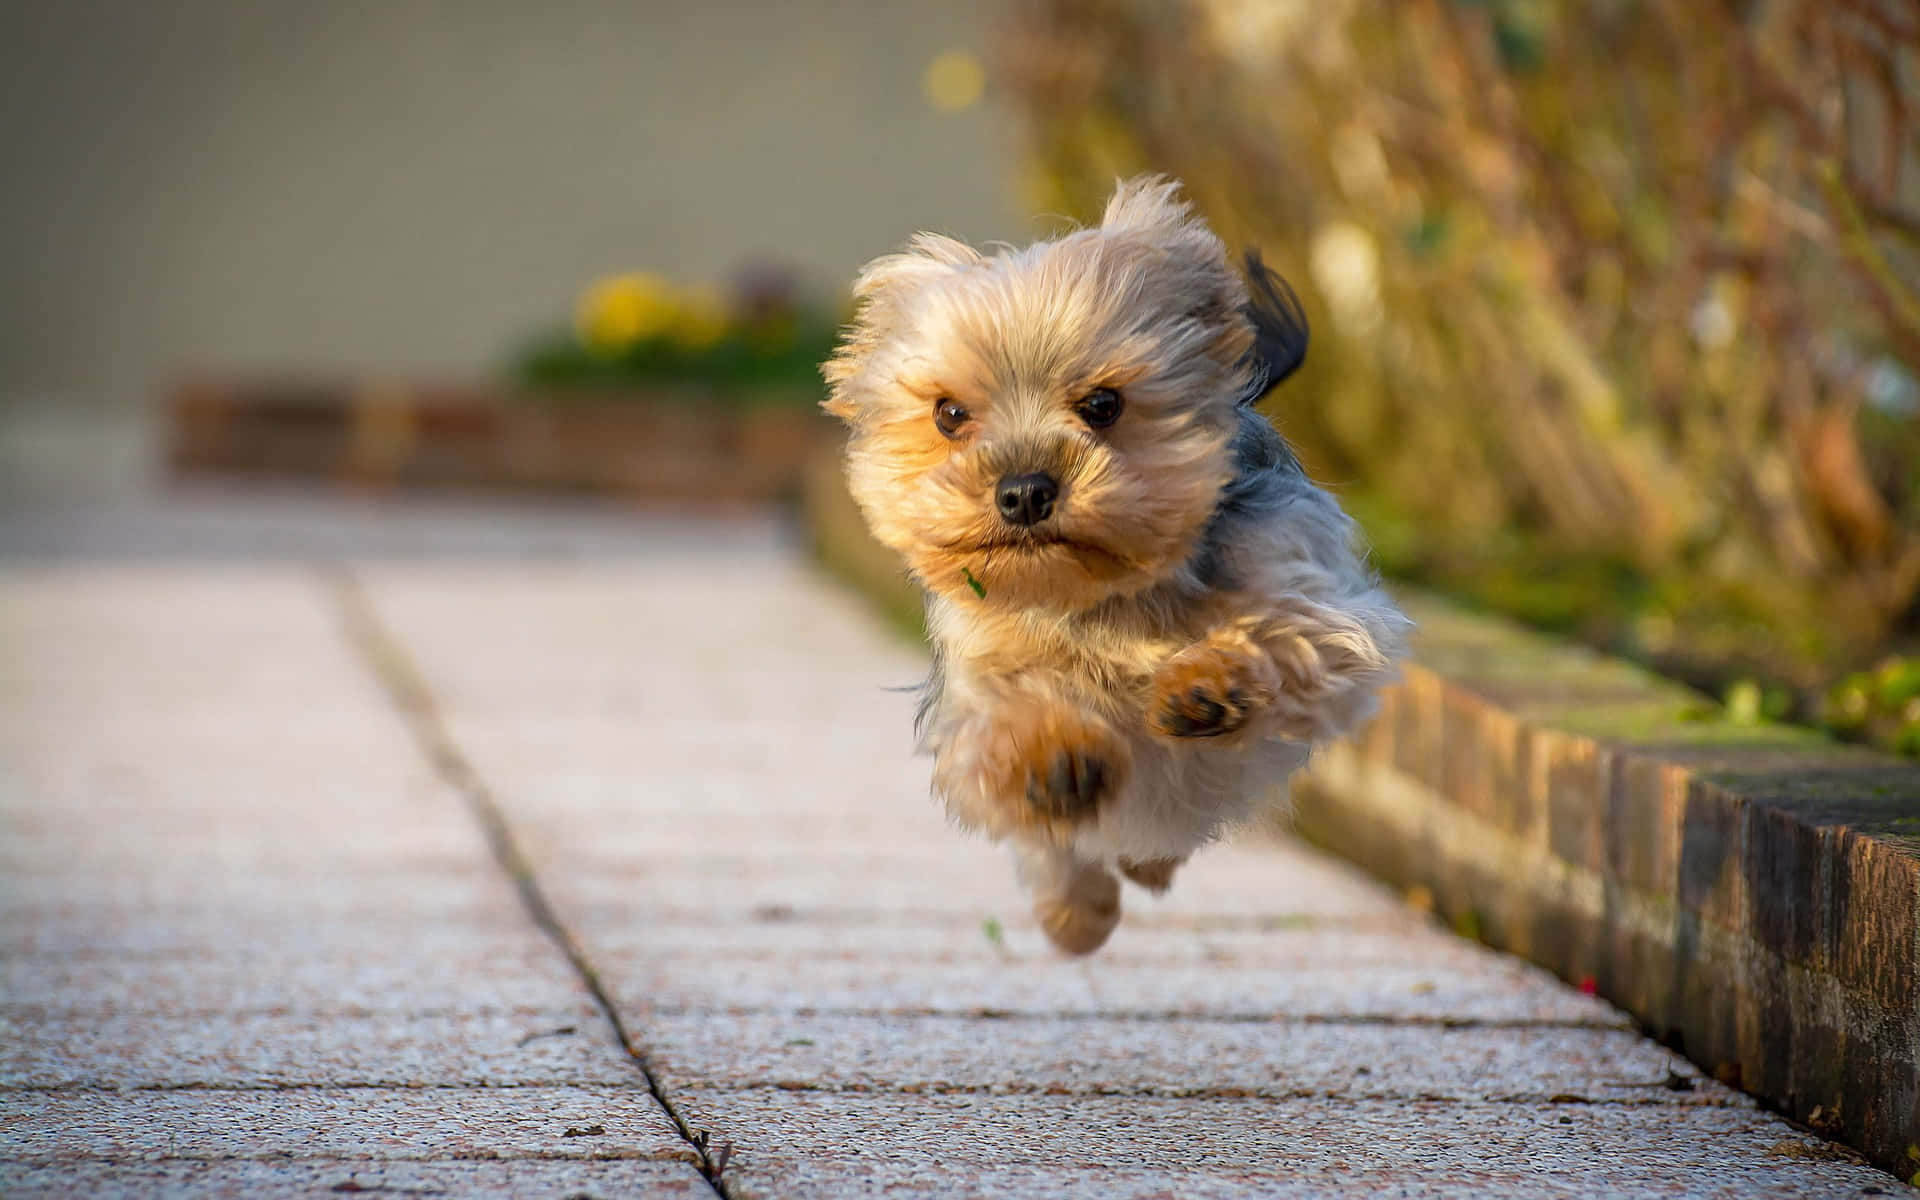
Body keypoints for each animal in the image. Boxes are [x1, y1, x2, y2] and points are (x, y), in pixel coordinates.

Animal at [825, 175, 1413, 956]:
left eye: (1103, 404)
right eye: (949, 415)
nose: (1024, 491)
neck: (1106, 595)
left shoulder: (1326, 607)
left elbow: (1292, 632)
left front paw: (1209, 684)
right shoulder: (978, 677)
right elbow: (1002, 717)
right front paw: (1052, 754)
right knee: (1066, 857)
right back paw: (1077, 913)